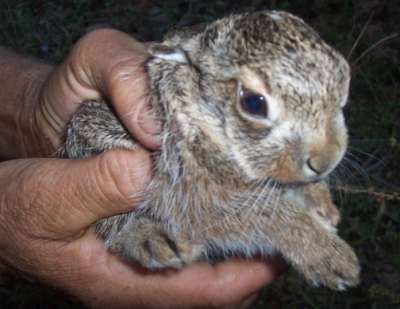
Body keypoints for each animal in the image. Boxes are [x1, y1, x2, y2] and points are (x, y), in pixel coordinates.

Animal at [61, 9, 360, 288]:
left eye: (345, 76)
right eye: (254, 104)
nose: (326, 161)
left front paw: (324, 205)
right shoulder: (192, 192)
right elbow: (264, 217)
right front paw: (333, 260)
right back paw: (155, 241)